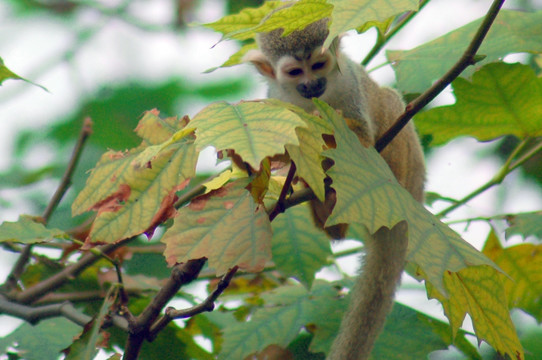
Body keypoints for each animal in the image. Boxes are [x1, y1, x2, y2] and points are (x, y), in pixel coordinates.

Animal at [244, 15, 428, 358]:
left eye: (318, 65)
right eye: (295, 72)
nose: (312, 84)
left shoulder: (349, 82)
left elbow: (363, 140)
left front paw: (319, 122)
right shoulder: (278, 96)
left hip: (408, 165)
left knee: (387, 99)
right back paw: (326, 204)